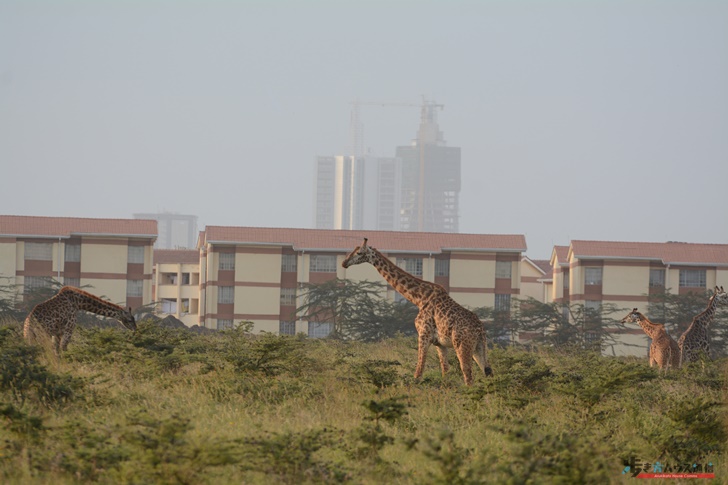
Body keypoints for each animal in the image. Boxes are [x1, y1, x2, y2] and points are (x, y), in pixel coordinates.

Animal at [342, 236, 494, 384]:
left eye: (359, 253)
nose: (344, 263)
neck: (419, 298)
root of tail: (480, 329)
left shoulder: (423, 335)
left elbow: (418, 373)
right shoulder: (440, 344)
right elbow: (445, 372)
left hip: (462, 345)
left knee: (468, 375)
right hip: (479, 347)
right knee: (488, 372)